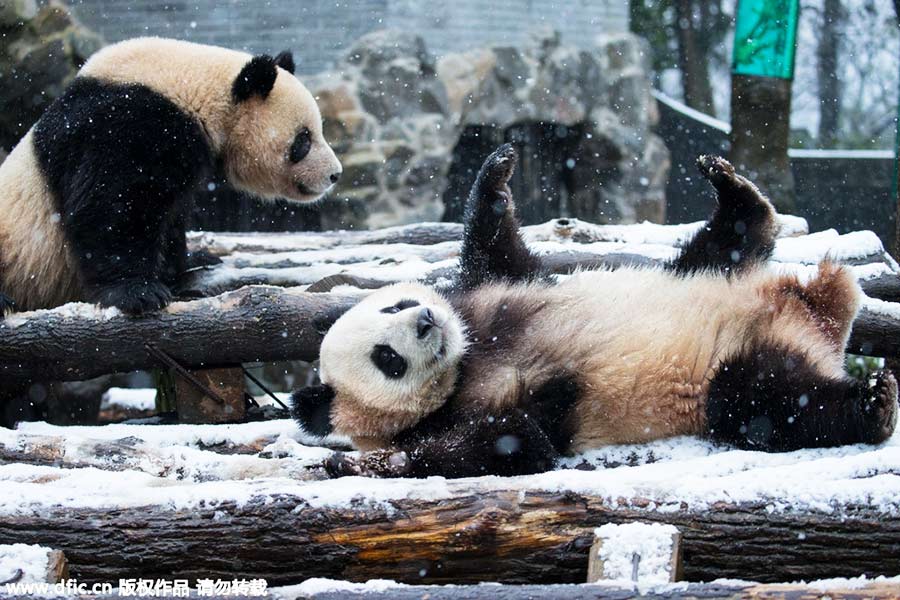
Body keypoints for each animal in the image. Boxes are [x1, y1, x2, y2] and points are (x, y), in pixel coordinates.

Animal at [0, 38, 342, 314]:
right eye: (303, 140)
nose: (334, 175)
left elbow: (170, 216)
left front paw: (189, 261)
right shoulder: (125, 125)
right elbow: (110, 205)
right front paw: (139, 292)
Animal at [292, 144, 896, 478]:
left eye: (399, 303)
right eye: (387, 359)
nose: (425, 323)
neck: (468, 355)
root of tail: (817, 314)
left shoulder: (496, 294)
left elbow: (497, 252)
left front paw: (496, 171)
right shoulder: (463, 413)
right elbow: (513, 442)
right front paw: (357, 464)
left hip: (701, 275)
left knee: (726, 244)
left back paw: (731, 186)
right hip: (731, 371)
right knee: (767, 400)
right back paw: (872, 404)